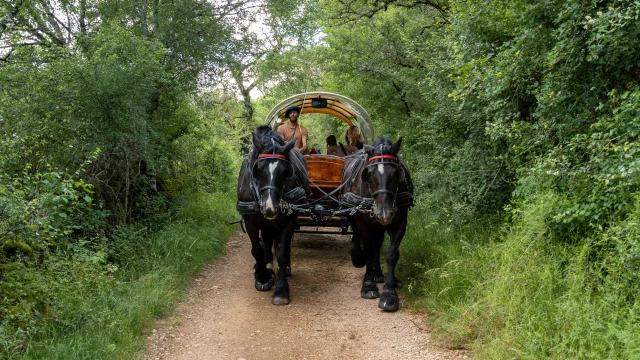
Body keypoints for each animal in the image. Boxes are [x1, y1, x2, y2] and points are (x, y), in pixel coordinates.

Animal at [239, 126, 312, 304]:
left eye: (285, 171)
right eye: (258, 170)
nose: (270, 208)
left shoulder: (289, 220)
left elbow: (282, 253)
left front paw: (281, 290)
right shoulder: (250, 220)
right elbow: (257, 250)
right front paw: (263, 277)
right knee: (266, 242)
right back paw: (267, 268)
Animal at [342, 136, 412, 310]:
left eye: (396, 173)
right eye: (369, 174)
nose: (384, 213)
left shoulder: (400, 221)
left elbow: (391, 254)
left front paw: (389, 292)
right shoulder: (363, 222)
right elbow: (367, 250)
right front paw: (368, 285)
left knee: (378, 244)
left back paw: (378, 273)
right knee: (357, 236)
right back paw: (358, 259)